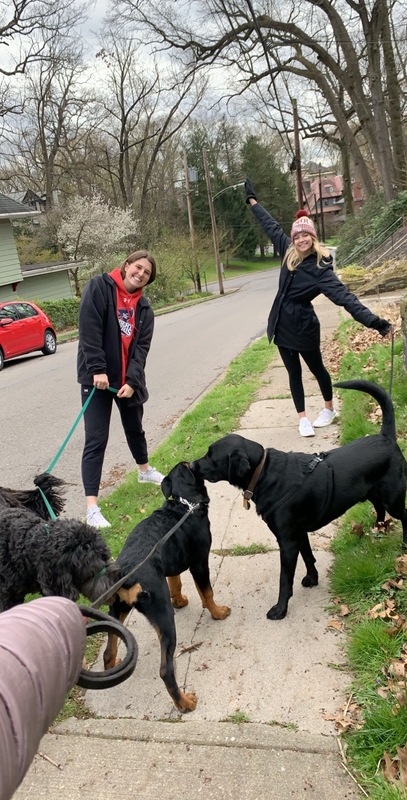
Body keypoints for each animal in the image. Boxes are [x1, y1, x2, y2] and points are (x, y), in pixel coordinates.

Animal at [103, 462, 231, 712]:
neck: (185, 504)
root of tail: (126, 574)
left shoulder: (172, 563)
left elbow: (176, 582)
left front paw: (180, 600)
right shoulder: (199, 562)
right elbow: (207, 592)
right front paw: (218, 612)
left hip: (117, 609)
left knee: (108, 651)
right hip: (163, 617)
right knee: (165, 670)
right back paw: (185, 703)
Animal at [194, 382, 407, 624]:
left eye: (211, 456)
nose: (193, 465)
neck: (263, 473)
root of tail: (385, 438)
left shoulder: (287, 541)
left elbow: (285, 579)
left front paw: (280, 609)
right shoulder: (299, 533)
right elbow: (308, 557)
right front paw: (312, 579)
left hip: (393, 499)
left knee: (404, 516)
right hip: (374, 494)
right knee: (379, 509)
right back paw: (377, 530)